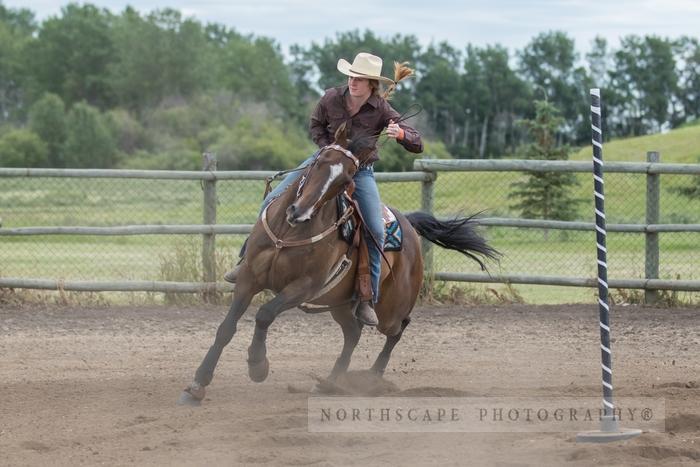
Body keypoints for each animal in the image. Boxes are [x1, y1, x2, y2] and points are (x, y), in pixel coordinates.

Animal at [179, 126, 498, 404]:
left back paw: (372, 377)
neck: (288, 233)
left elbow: (265, 314)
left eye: (346, 180)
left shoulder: (303, 287)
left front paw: (258, 365)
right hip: (340, 304)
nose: (299, 212)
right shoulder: (249, 278)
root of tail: (408, 224)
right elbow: (226, 328)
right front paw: (198, 384)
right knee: (353, 334)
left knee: (397, 329)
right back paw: (330, 382)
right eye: (318, 163)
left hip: (390, 307)